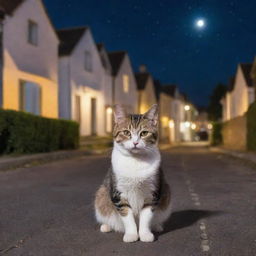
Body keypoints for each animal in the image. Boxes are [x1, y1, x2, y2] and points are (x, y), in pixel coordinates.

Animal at [94, 104, 172, 242]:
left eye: (144, 133)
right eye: (126, 132)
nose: (135, 143)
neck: (135, 161)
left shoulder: (152, 193)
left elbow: (146, 216)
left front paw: (145, 234)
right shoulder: (119, 194)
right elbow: (127, 216)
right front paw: (131, 235)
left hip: (166, 195)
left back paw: (157, 226)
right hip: (101, 195)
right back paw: (106, 226)